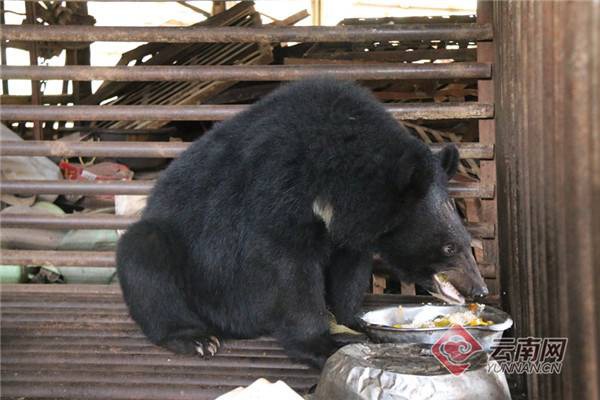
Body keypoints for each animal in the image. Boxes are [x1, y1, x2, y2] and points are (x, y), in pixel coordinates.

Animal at [117, 79, 488, 368]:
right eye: (449, 247)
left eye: (465, 243)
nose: (480, 290)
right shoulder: (278, 193)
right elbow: (291, 276)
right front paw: (323, 345)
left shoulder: (350, 234)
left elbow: (348, 273)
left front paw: (354, 322)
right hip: (177, 255)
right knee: (145, 262)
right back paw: (196, 338)